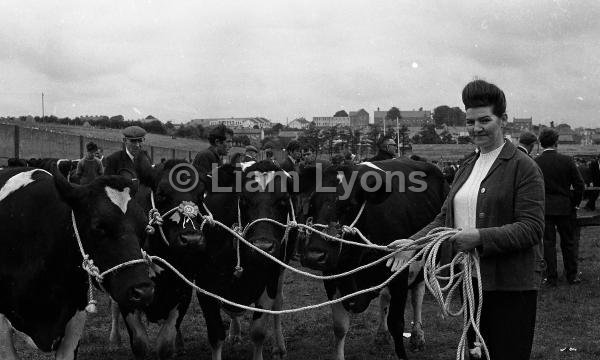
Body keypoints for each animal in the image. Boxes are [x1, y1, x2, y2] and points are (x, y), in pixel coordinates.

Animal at [109, 155, 210, 360]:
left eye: (201, 195)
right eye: (162, 193)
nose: (192, 240)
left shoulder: (183, 291)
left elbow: (165, 344)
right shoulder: (128, 294)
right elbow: (140, 344)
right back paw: (114, 339)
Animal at [197, 161, 298, 360]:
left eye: (283, 200)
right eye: (243, 199)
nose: (263, 246)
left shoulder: (270, 279)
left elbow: (258, 332)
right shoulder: (203, 285)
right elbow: (216, 335)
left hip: (281, 270)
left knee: (278, 304)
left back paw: (279, 345)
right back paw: (234, 332)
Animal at [298, 160, 448, 360]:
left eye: (349, 206)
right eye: (311, 205)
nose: (314, 256)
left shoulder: (400, 276)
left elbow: (397, 323)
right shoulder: (331, 279)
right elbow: (339, 327)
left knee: (417, 296)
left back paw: (417, 337)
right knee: (385, 298)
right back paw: (381, 336)